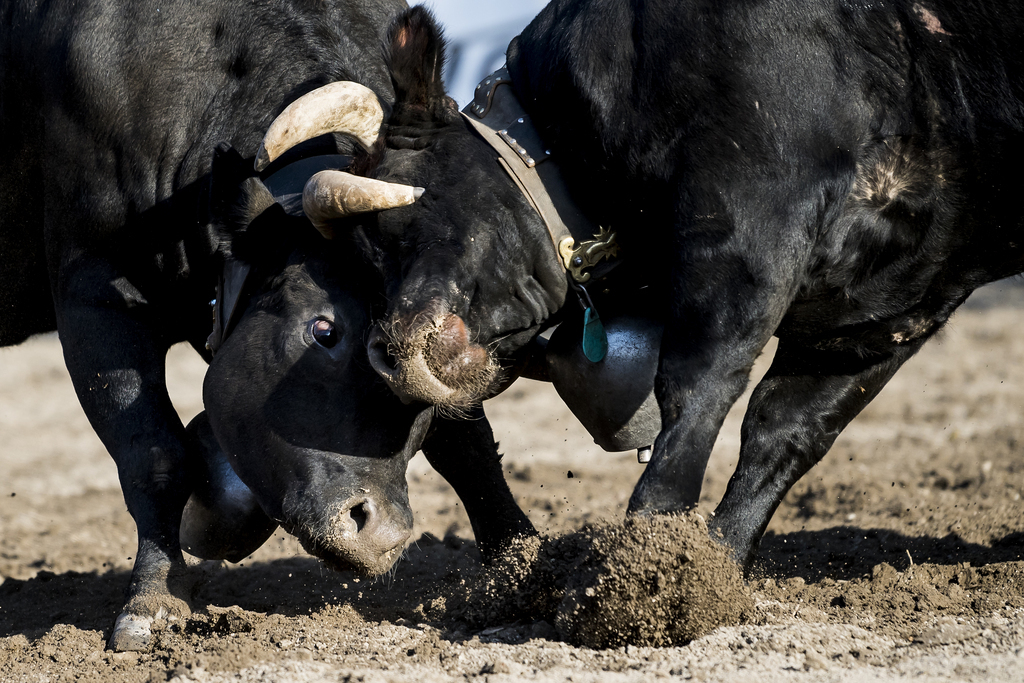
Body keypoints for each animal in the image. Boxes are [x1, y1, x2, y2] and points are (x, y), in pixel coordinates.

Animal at [4, 0, 536, 651]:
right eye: (324, 330)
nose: (381, 534)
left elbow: (467, 443)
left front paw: (519, 564)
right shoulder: (96, 299)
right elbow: (155, 455)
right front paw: (152, 602)